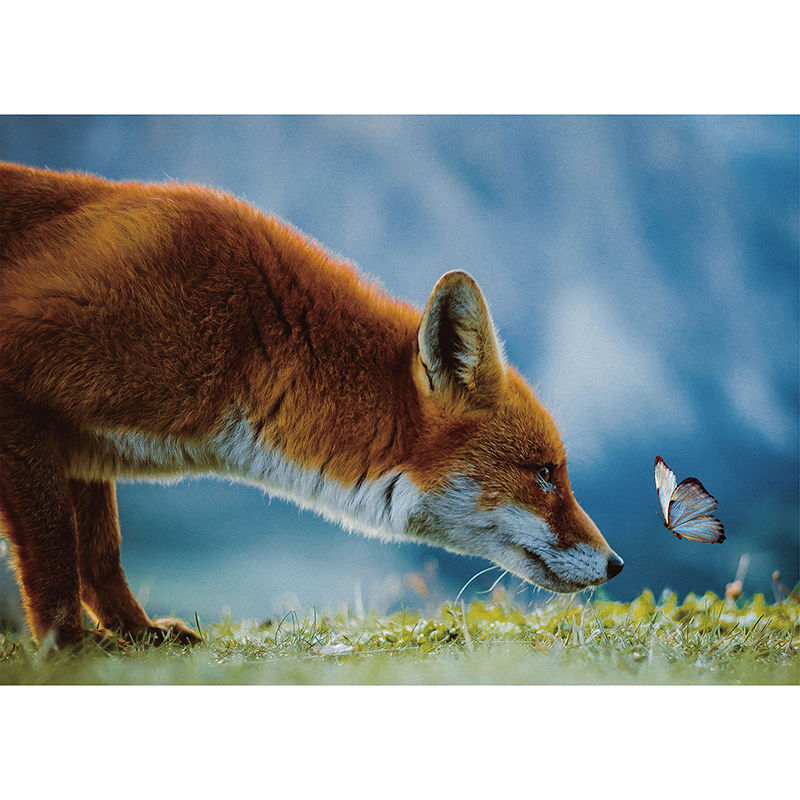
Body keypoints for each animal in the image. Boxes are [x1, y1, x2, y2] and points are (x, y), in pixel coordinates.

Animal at [0, 162, 623, 649]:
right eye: (544, 473)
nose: (616, 563)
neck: (245, 340)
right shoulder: (23, 374)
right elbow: (58, 550)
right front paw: (70, 649)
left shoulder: (84, 446)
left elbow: (100, 554)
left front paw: (135, 632)